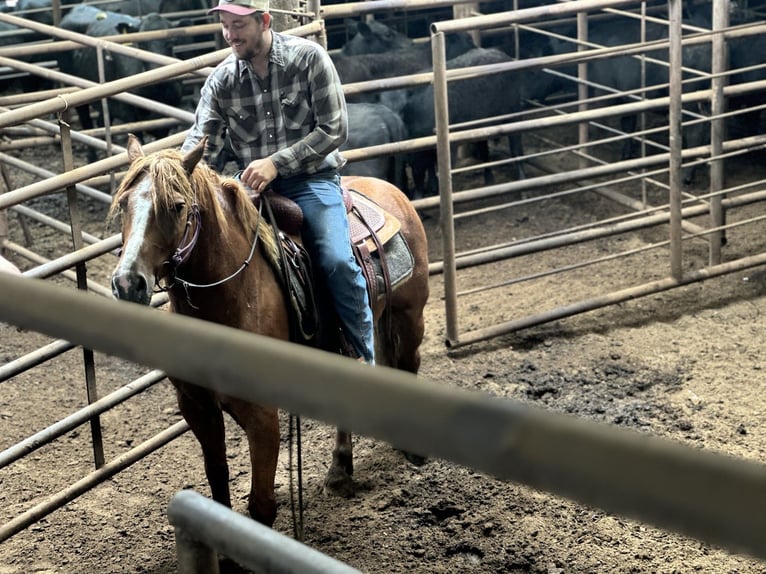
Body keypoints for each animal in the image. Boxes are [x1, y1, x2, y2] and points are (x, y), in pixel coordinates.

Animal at [109, 134, 432, 528]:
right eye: (123, 203)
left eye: (177, 206)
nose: (128, 283)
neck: (232, 294)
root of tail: (389, 190)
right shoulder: (197, 406)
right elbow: (218, 485)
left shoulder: (262, 414)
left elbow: (261, 505)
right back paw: (339, 471)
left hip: (409, 315)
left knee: (409, 362)